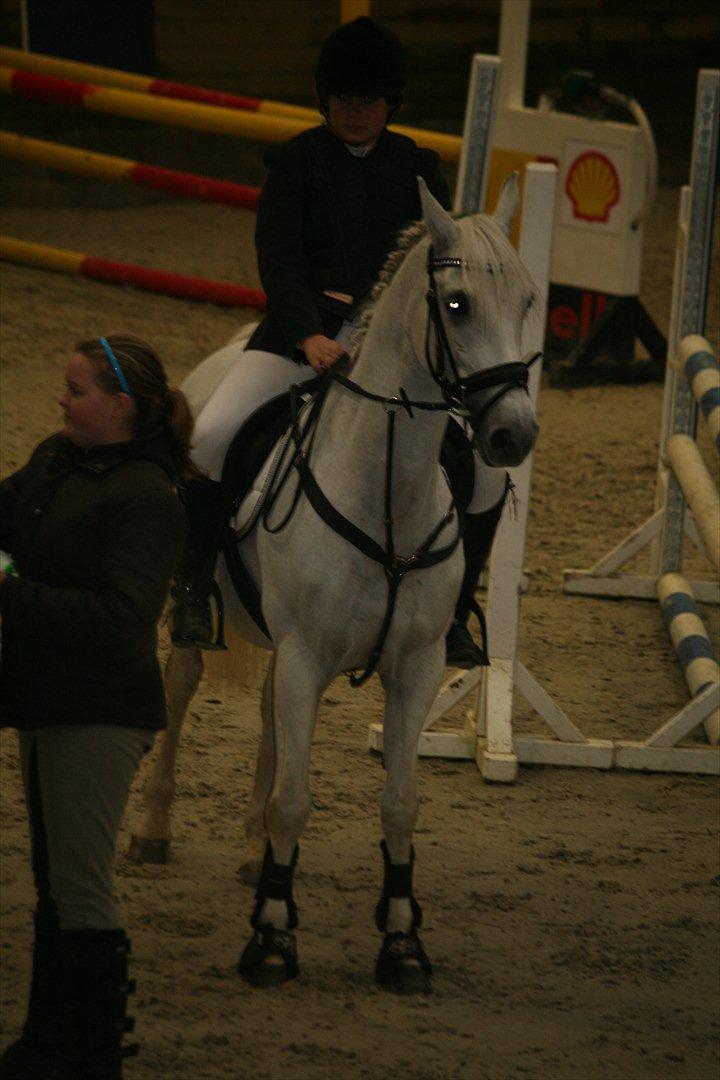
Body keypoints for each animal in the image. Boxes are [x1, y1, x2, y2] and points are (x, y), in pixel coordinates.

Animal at [132, 174, 540, 994]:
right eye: (457, 306)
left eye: (526, 301)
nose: (513, 434)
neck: (386, 491)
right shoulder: (307, 655)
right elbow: (295, 800)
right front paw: (271, 939)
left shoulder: (412, 667)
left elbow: (400, 804)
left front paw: (403, 945)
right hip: (217, 608)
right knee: (184, 680)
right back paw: (155, 829)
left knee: (267, 716)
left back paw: (251, 850)